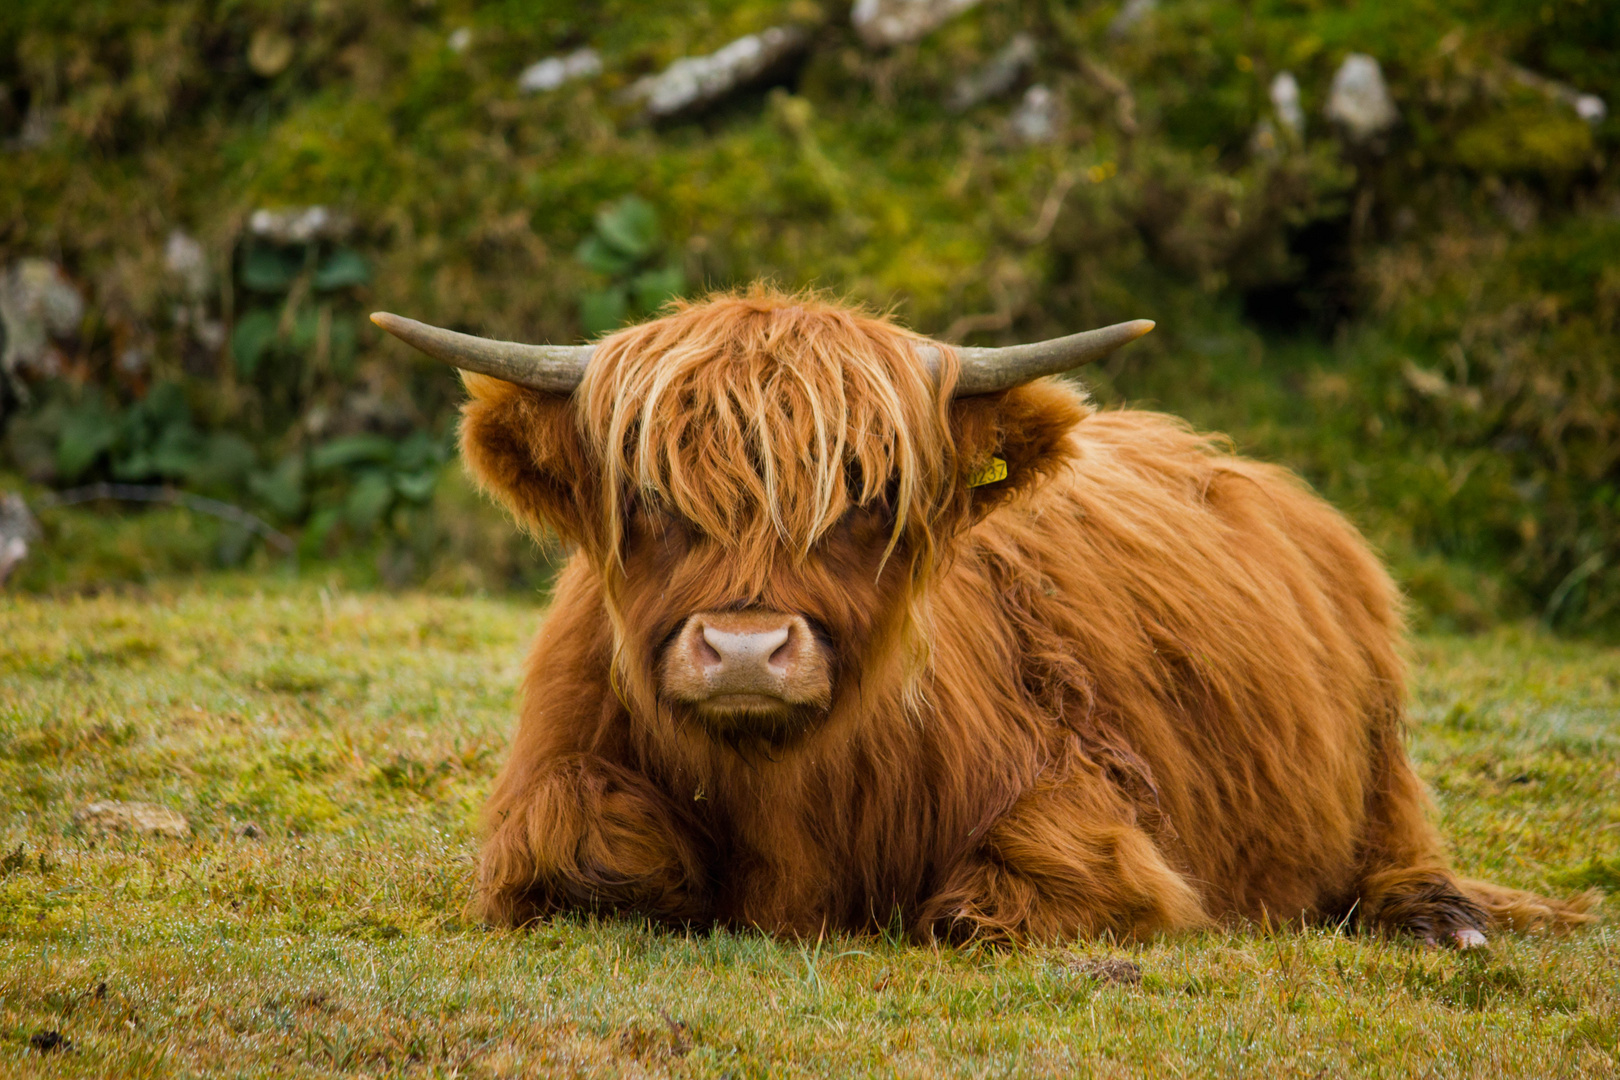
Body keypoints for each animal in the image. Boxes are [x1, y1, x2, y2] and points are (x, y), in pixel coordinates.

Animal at [372, 289, 1587, 945]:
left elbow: (1001, 891)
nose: (747, 650)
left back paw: (1444, 920)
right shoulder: (547, 793)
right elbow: (582, 847)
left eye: (867, 493)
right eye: (649, 496)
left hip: (1380, 771)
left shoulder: (1083, 807)